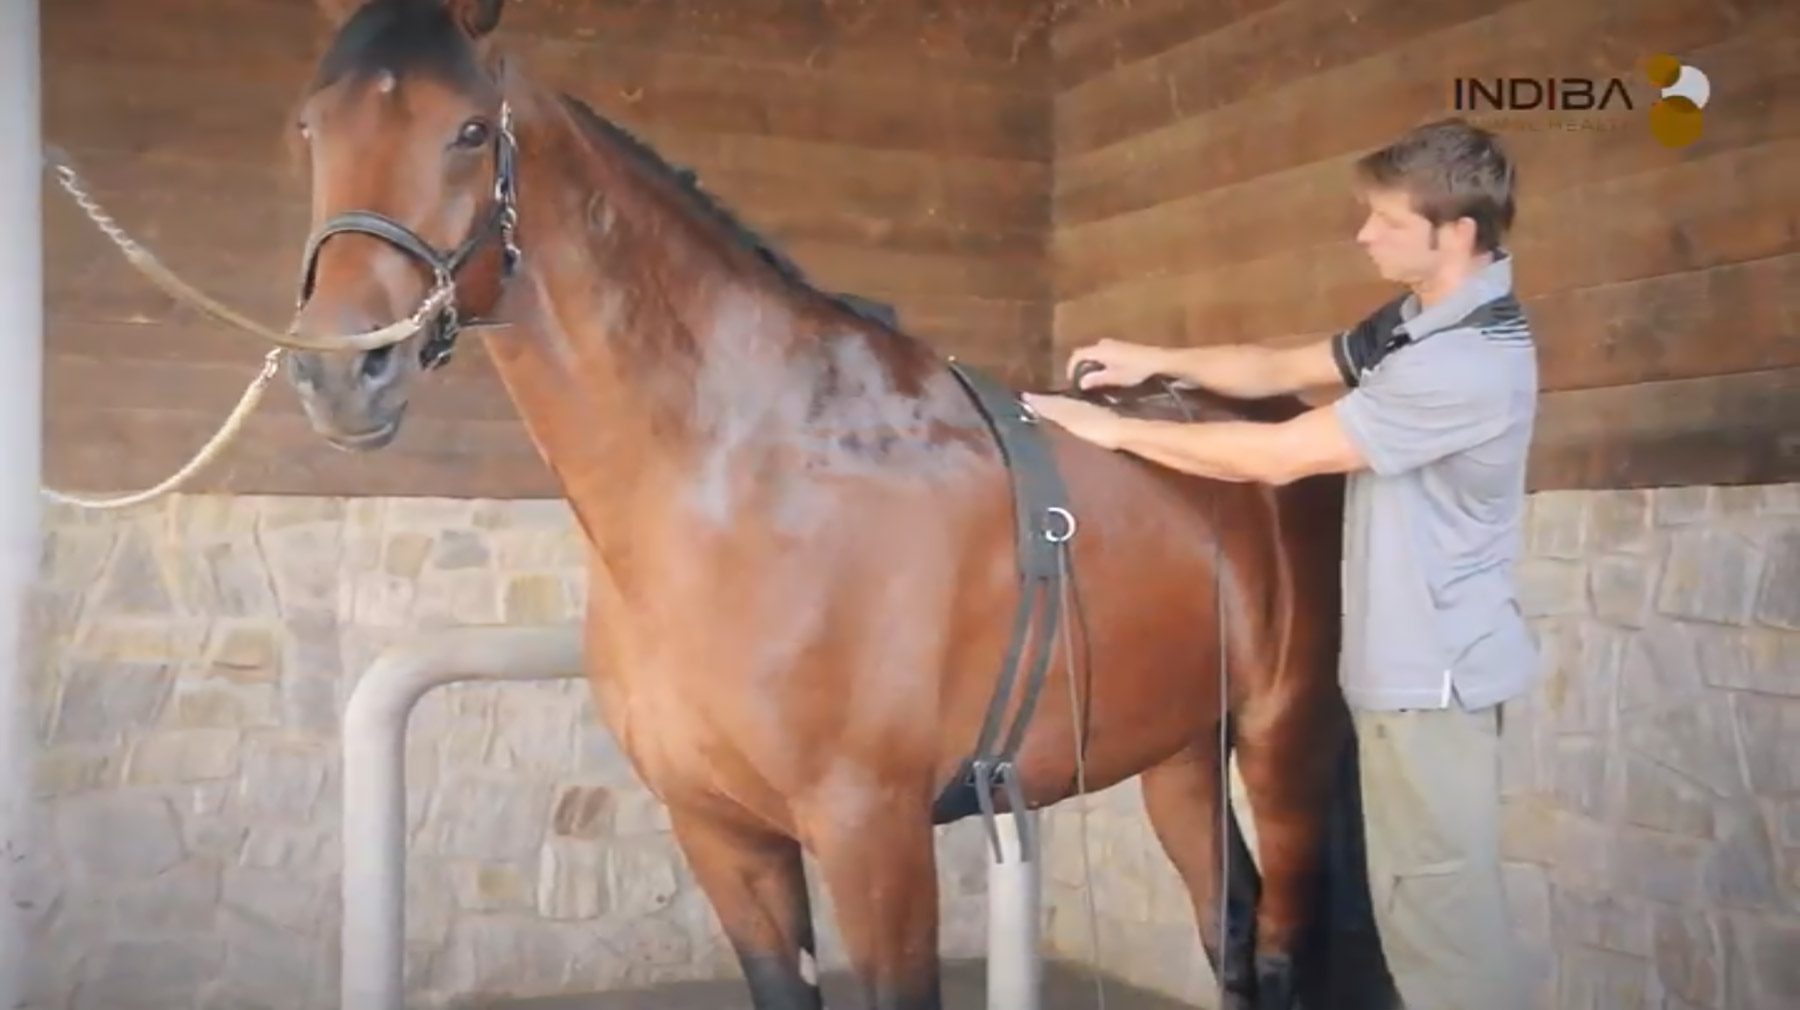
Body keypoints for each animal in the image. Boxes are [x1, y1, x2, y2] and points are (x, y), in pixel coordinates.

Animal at [271, 1, 1368, 1007]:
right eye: (312, 129)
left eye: (466, 129)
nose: (340, 371)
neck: (744, 485)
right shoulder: (723, 835)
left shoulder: (872, 836)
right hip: (1180, 753)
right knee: (1229, 931)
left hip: (1279, 734)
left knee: (1279, 950)